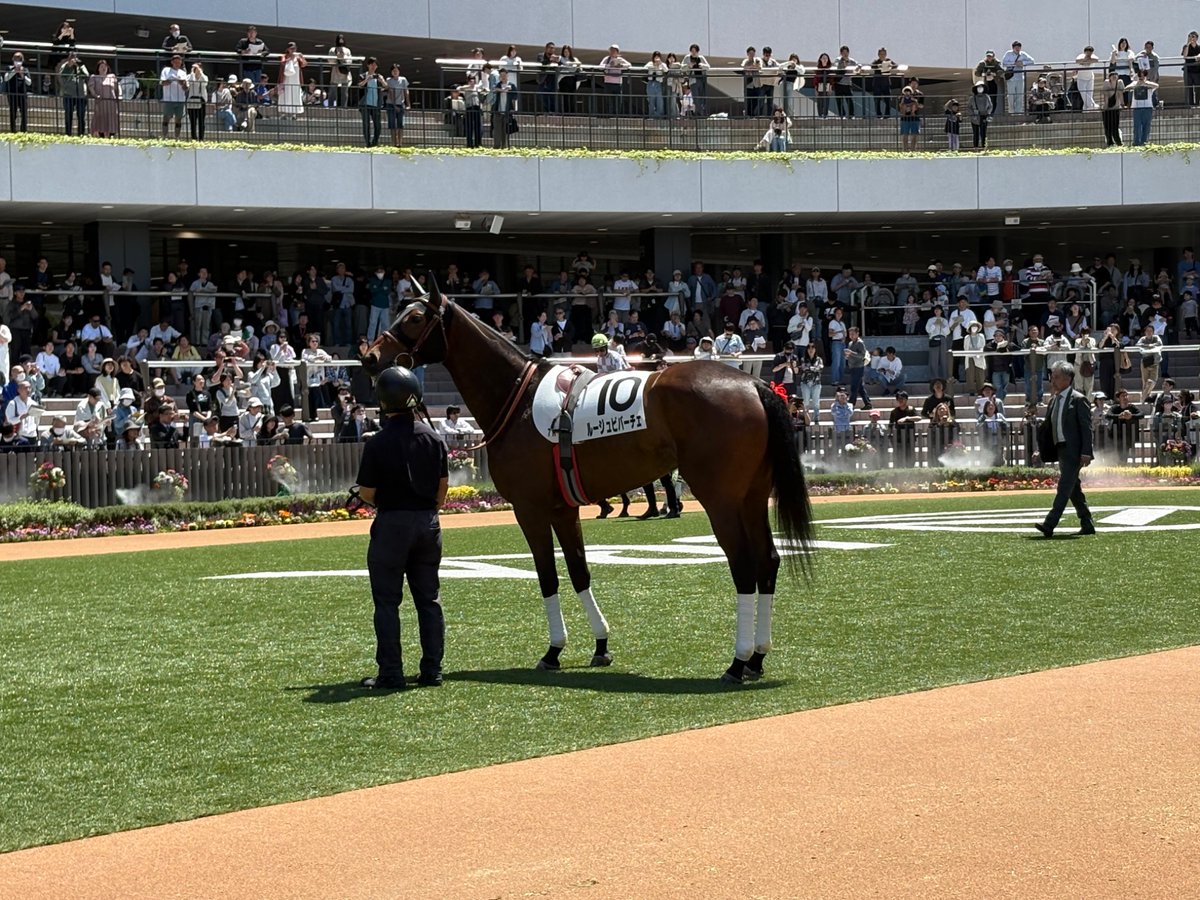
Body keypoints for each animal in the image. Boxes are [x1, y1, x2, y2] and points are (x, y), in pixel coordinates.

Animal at [363, 294, 813, 683]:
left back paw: (737, 662)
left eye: (414, 318)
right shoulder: (563, 509)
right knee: (768, 561)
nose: (370, 356)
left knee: (744, 567)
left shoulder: (529, 509)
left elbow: (547, 576)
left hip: (720, 499)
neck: (517, 397)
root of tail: (754, 386)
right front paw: (599, 645)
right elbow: (579, 571)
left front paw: (552, 651)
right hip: (752, 497)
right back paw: (756, 658)